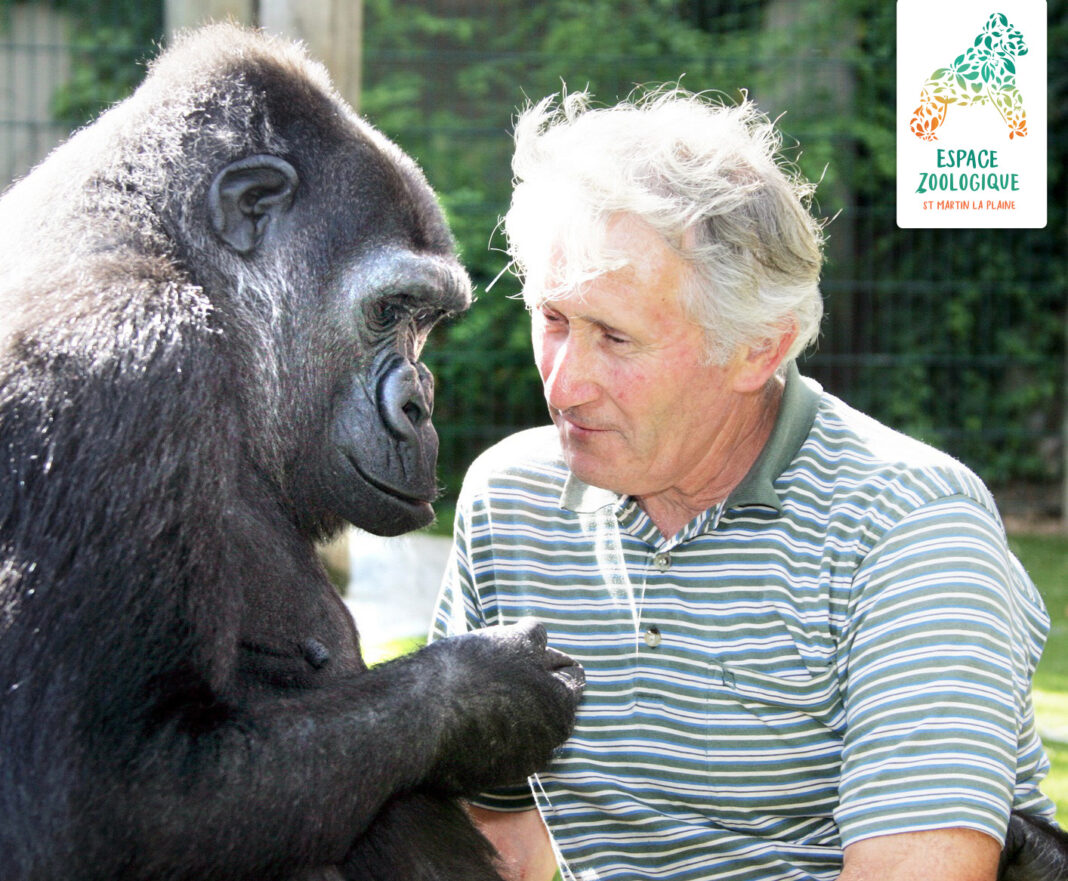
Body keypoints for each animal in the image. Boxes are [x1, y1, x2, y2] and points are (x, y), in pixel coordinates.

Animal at [0, 22, 585, 879]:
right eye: (389, 310)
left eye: (427, 321)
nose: (421, 405)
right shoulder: (127, 366)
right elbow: (102, 799)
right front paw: (485, 692)